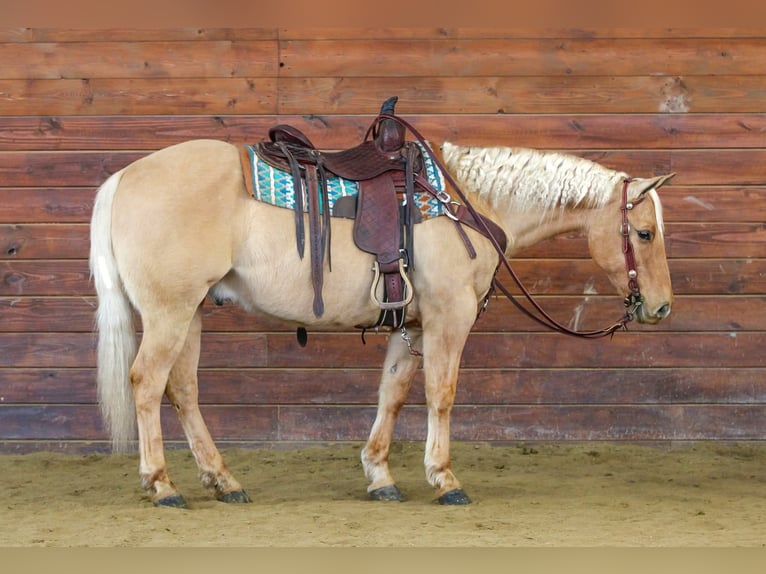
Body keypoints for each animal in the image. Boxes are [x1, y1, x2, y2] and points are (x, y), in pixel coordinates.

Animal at [89, 129, 674, 508]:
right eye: (644, 233)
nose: (661, 306)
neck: (467, 203)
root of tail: (123, 178)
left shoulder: (411, 325)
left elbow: (391, 394)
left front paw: (380, 476)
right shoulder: (449, 318)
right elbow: (441, 394)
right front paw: (444, 478)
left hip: (190, 312)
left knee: (182, 390)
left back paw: (223, 481)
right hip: (169, 311)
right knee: (147, 384)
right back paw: (162, 485)